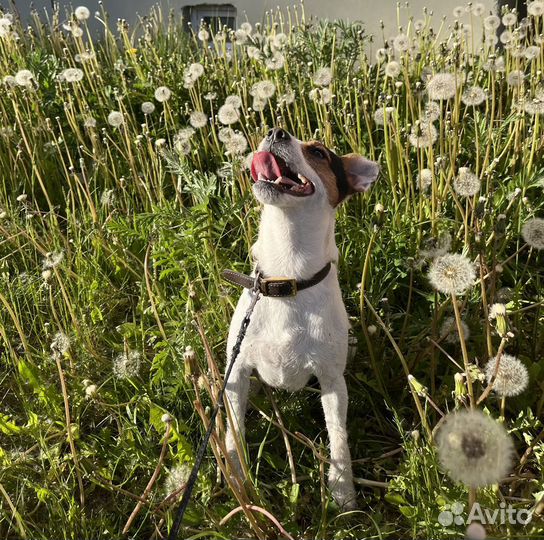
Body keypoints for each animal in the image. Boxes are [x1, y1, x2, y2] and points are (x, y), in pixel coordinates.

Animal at [222, 129, 378, 508]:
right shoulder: (237, 371)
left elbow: (338, 437)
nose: (276, 131)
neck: (286, 276)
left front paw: (342, 490)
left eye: (319, 153)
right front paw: (238, 478)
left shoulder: (332, 380)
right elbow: (234, 431)